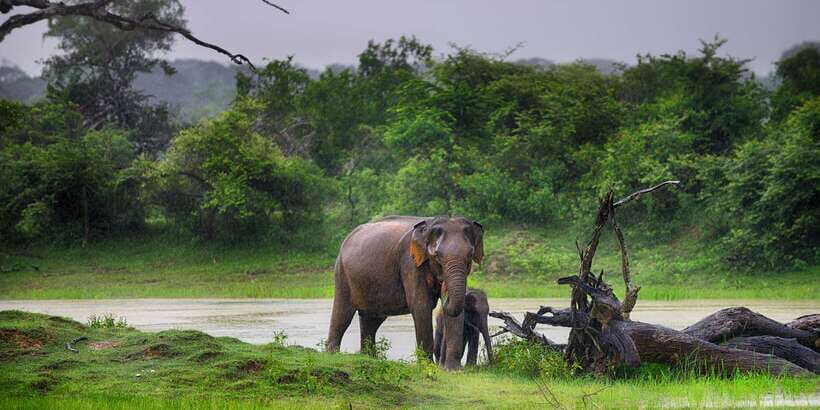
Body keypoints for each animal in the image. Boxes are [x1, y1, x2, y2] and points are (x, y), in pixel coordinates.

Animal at [326, 215, 484, 370]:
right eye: (437, 256)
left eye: (470, 255)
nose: (443, 288)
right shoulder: (410, 262)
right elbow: (421, 306)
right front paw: (427, 367)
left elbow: (457, 312)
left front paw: (453, 370)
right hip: (342, 273)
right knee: (343, 314)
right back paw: (332, 354)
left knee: (372, 320)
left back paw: (369, 357)